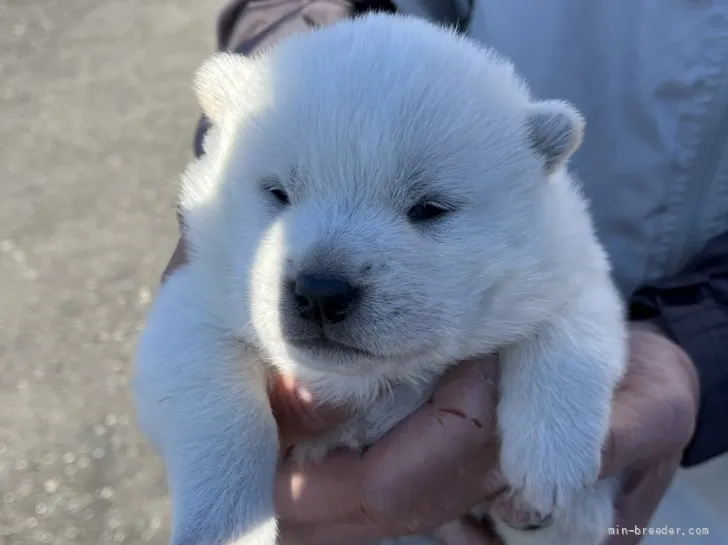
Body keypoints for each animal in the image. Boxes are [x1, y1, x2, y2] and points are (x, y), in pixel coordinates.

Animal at [134, 12, 628, 544]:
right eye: (278, 192)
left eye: (429, 207)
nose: (320, 292)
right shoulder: (197, 296)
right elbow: (210, 396)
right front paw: (226, 525)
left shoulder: (563, 256)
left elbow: (573, 328)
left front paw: (551, 478)